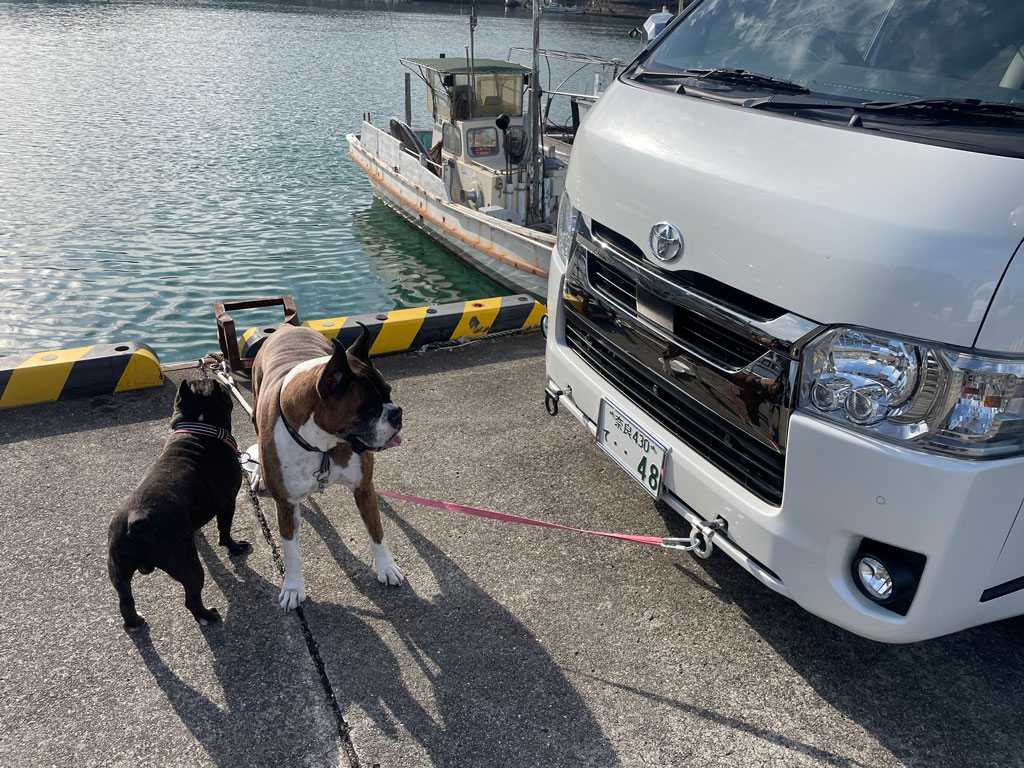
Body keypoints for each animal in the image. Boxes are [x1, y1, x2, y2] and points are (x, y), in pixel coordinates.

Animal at [105, 380, 247, 630]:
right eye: (224, 392)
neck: (199, 427)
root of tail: (135, 520)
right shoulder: (228, 502)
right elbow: (225, 529)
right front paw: (235, 548)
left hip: (118, 568)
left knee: (125, 600)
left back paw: (135, 621)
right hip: (188, 564)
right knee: (192, 597)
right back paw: (208, 615)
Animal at [249, 321, 401, 610]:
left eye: (389, 393)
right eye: (370, 408)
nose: (397, 413)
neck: (321, 445)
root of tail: (286, 326)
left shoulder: (364, 489)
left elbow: (376, 532)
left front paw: (386, 567)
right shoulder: (286, 505)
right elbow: (291, 551)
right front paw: (293, 588)